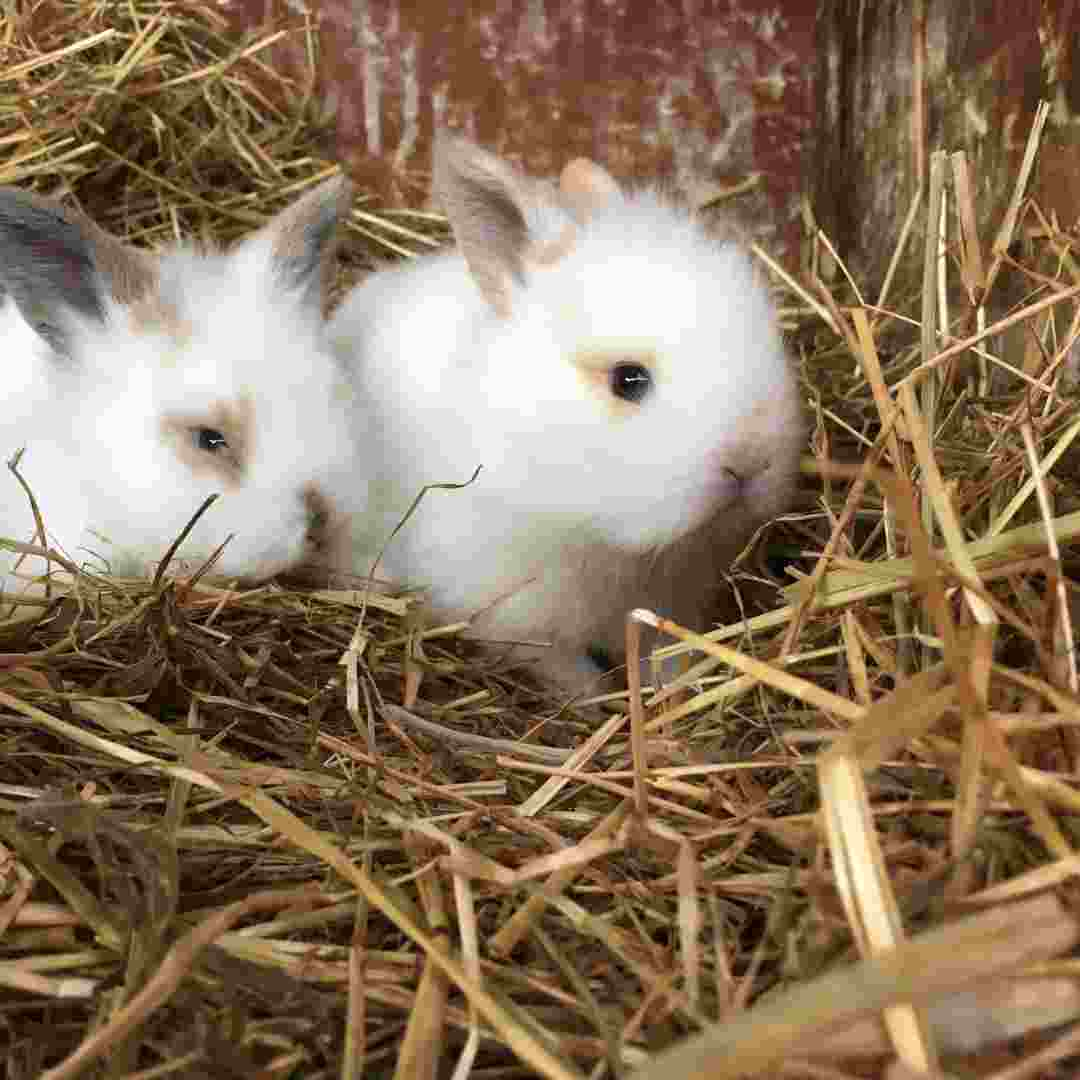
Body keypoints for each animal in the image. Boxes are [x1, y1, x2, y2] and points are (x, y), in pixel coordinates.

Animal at [328, 135, 803, 691]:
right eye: (628, 380)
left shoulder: (669, 605)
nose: (752, 461)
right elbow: (573, 677)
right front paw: (600, 700)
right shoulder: (520, 622)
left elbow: (666, 657)